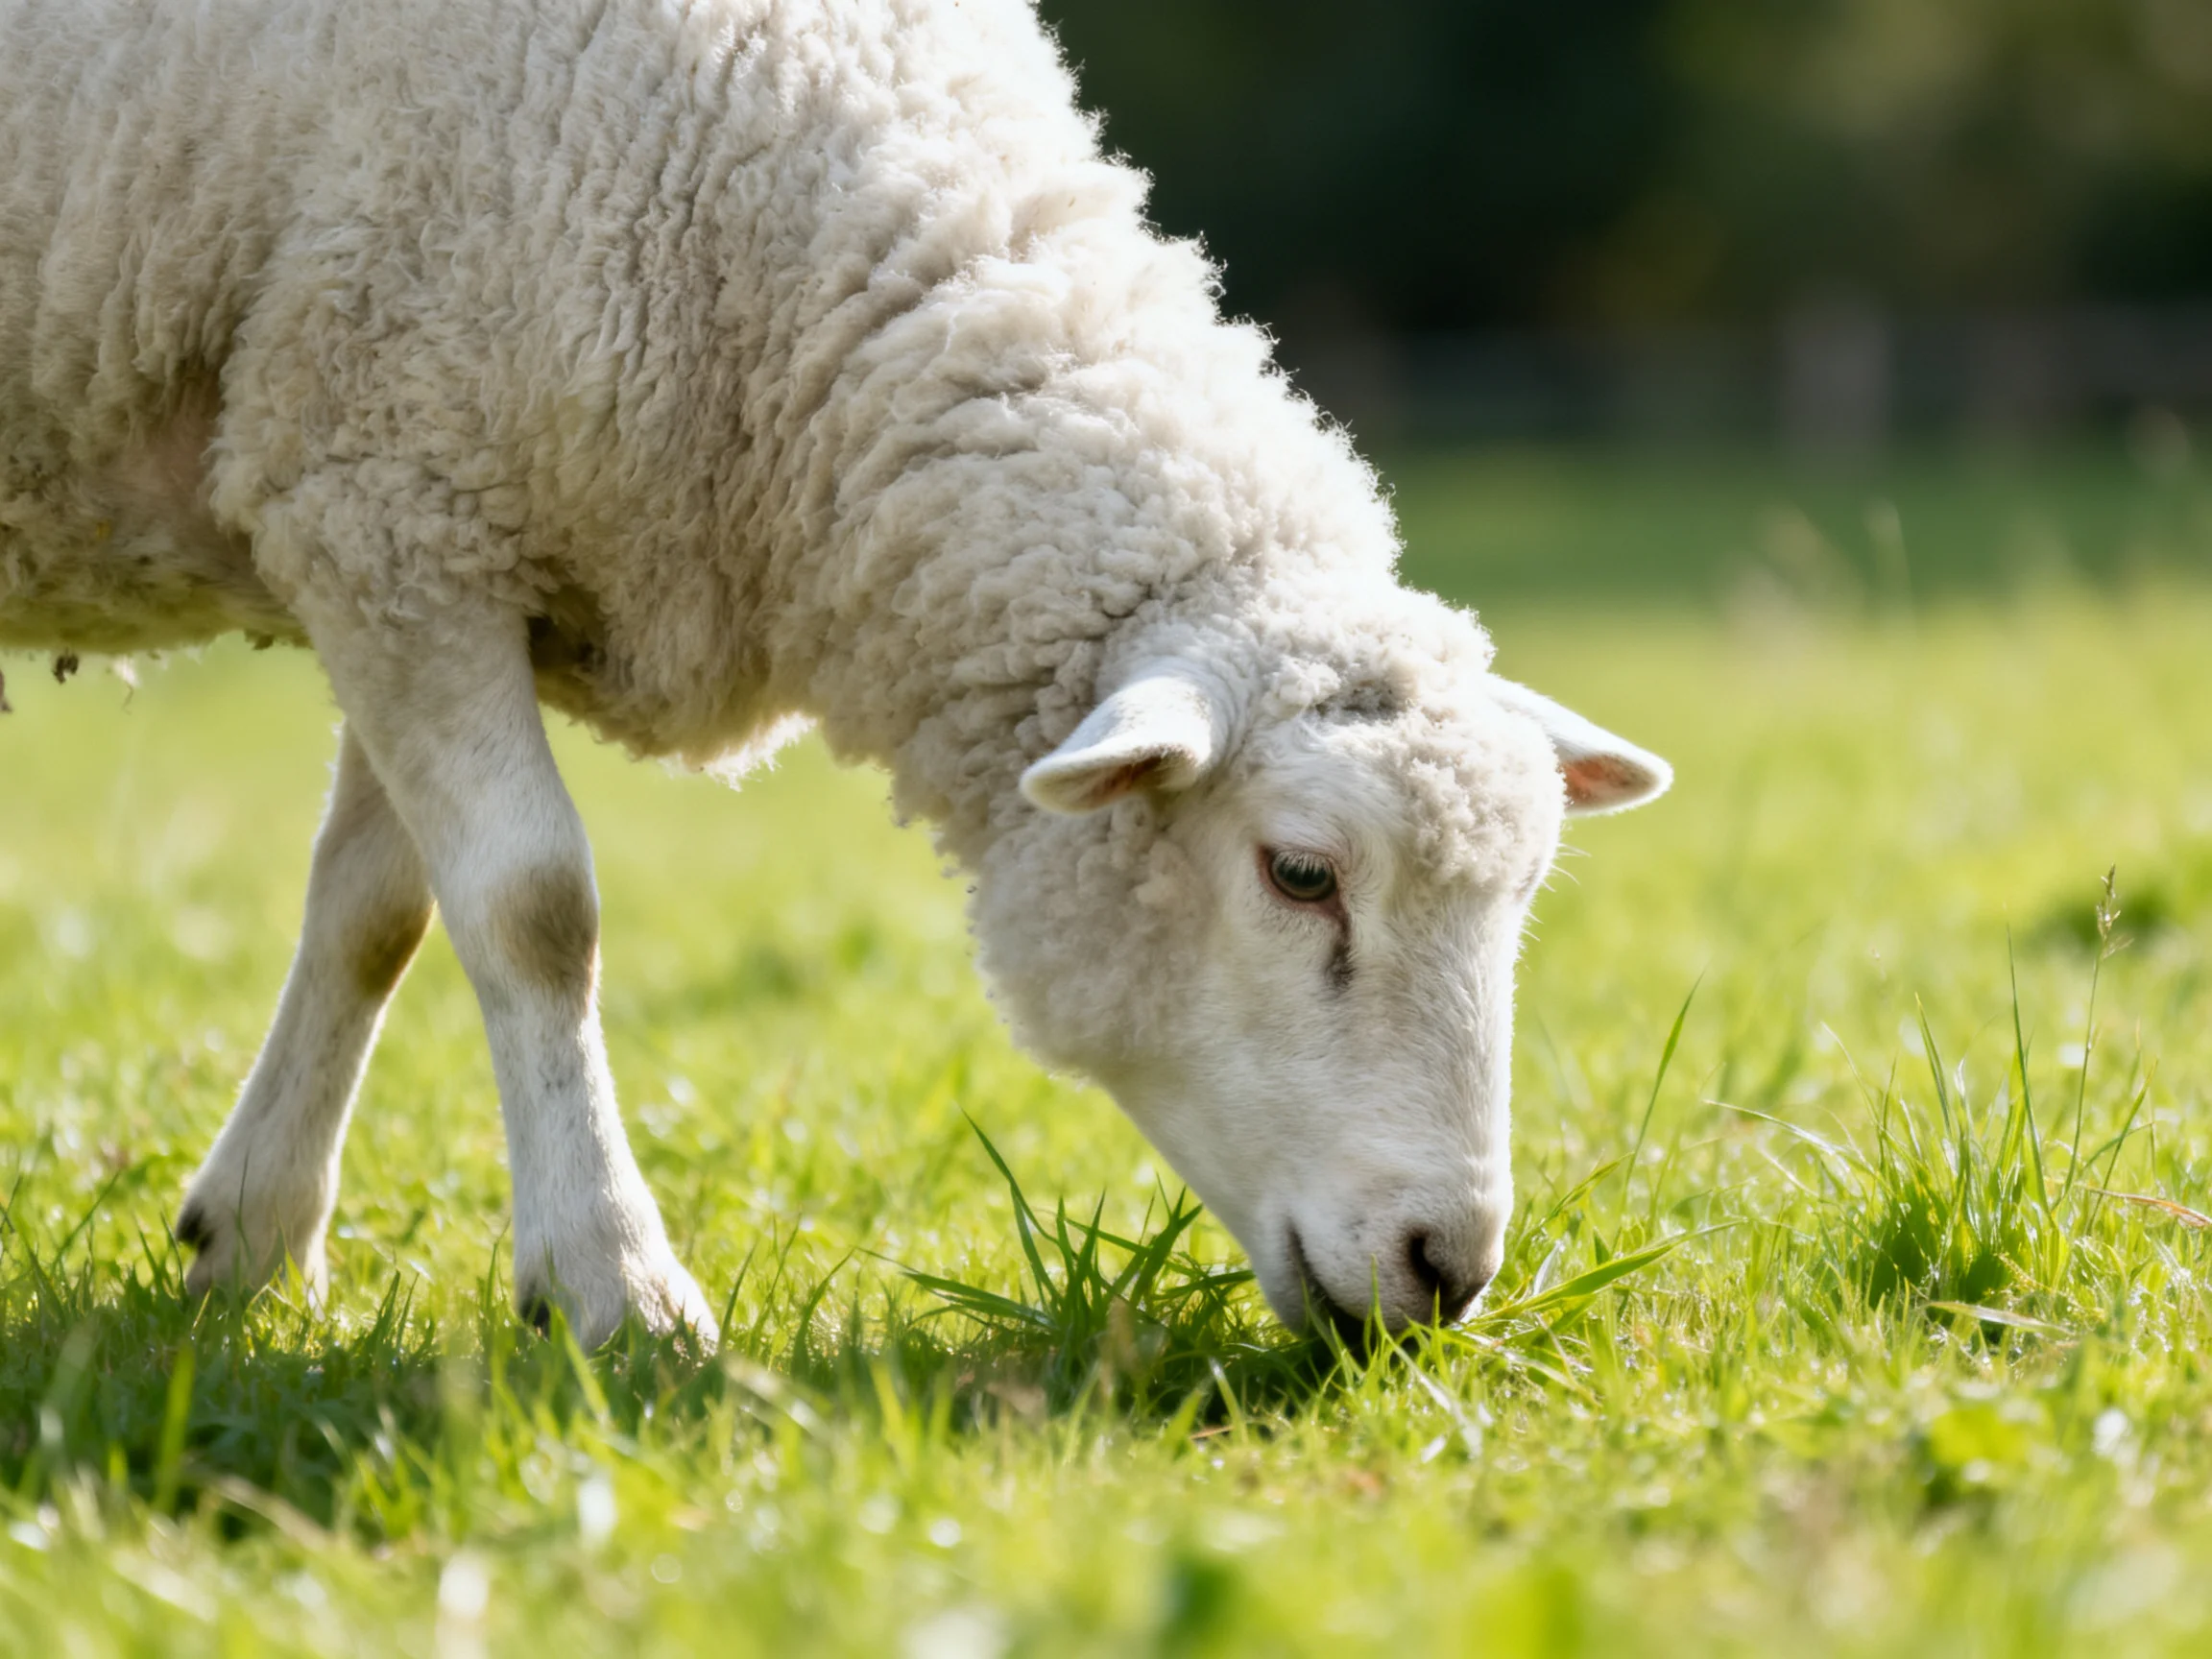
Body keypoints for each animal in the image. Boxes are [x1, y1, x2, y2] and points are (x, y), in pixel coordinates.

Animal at [0, 0, 1670, 1349]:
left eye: (1526, 896)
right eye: (1301, 873)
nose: (1450, 1268)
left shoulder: (405, 534)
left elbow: (376, 911)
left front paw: (252, 1247)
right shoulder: (382, 483)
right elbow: (534, 907)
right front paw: (614, 1287)